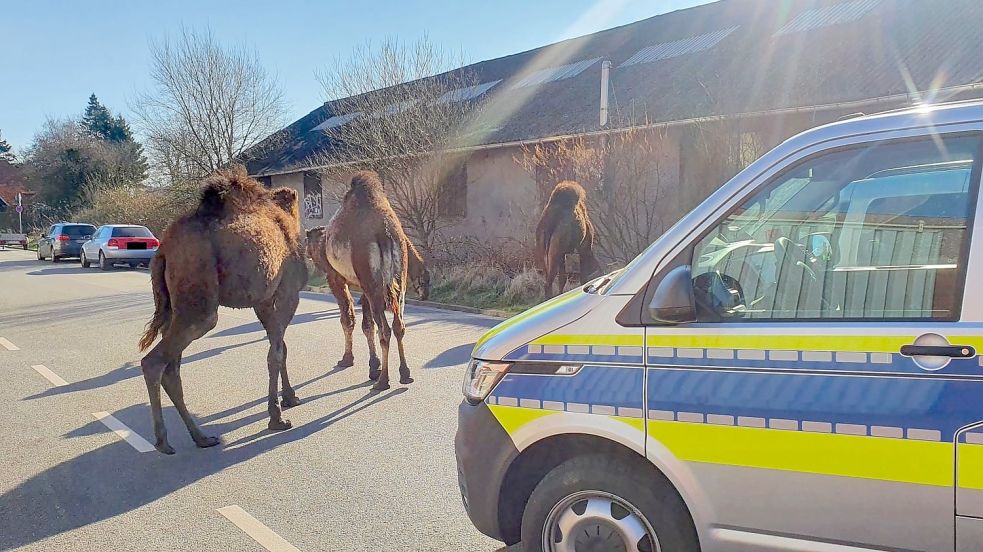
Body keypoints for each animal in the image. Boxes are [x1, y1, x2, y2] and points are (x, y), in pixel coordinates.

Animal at [137, 167, 308, 452]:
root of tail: (163, 252)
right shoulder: (288, 292)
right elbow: (276, 352)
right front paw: (277, 417)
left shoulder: (262, 300)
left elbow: (280, 346)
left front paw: (289, 398)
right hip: (200, 302)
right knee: (155, 362)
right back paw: (163, 442)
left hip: (176, 308)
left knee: (171, 369)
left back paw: (201, 437)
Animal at [308, 170, 422, 390]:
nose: (306, 254)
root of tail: (386, 234)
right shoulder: (363, 287)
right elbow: (367, 325)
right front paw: (373, 365)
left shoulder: (337, 278)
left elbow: (348, 319)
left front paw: (347, 359)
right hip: (399, 282)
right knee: (399, 325)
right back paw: (405, 374)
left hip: (374, 284)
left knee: (385, 330)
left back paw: (383, 381)